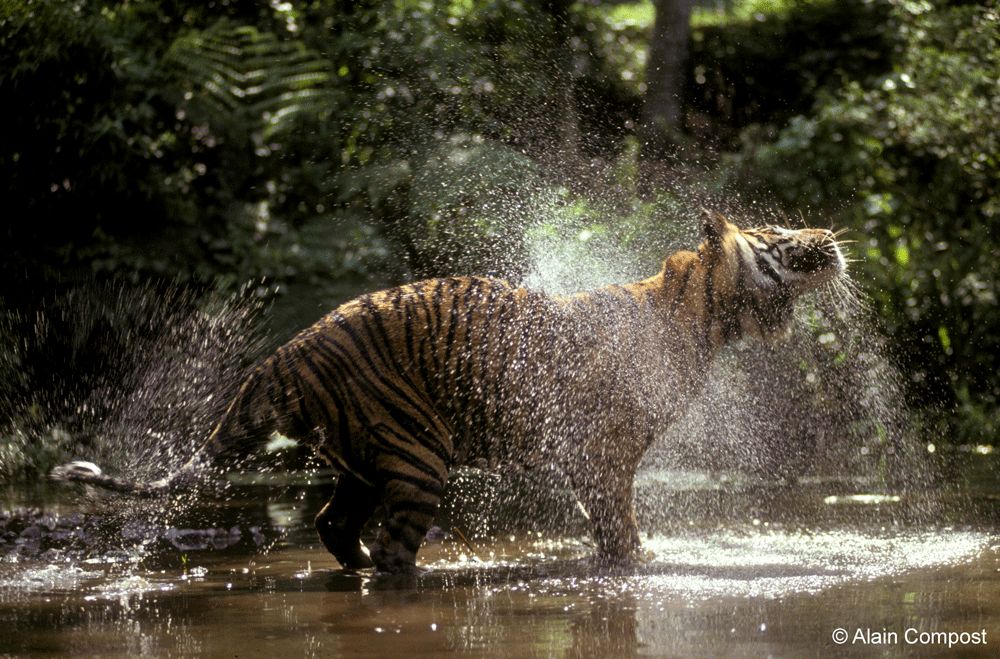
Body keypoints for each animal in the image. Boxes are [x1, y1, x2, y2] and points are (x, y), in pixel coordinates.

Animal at [52, 209, 846, 573]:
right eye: (779, 233)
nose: (833, 235)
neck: (704, 319)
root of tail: (288, 351)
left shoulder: (588, 459)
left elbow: (605, 525)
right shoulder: (604, 454)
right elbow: (619, 526)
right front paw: (641, 566)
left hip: (362, 458)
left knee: (334, 525)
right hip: (417, 455)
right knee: (391, 548)